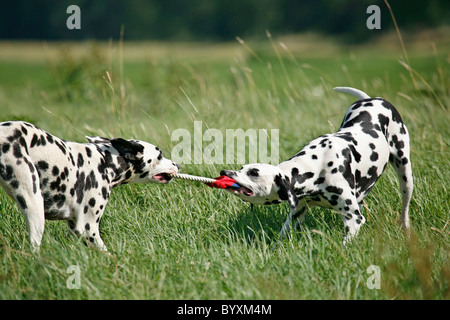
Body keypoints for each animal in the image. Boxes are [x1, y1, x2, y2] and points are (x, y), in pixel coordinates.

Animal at [0, 121, 179, 251]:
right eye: (159, 155)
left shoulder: (75, 226)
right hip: (35, 207)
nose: (177, 164)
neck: (105, 161)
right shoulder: (87, 227)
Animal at [220, 86, 414, 244]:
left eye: (254, 172)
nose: (225, 172)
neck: (315, 167)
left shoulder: (353, 218)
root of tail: (371, 99)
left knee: (405, 205)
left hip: (405, 173)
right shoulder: (296, 214)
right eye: (242, 168)